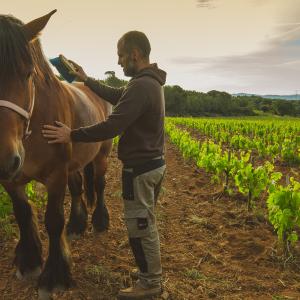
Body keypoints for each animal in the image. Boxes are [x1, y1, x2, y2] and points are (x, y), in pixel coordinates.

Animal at [0, 9, 112, 300]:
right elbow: (22, 212)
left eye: (28, 74)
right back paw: (76, 225)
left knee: (99, 184)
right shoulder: (11, 178)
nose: (3, 159)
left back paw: (99, 221)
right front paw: (29, 261)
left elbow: (52, 220)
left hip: (102, 156)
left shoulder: (56, 174)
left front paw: (54, 275)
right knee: (78, 187)